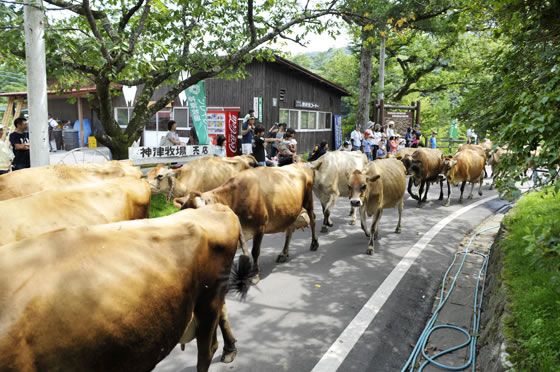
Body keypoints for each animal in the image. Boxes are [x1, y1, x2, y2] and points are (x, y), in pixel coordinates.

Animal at [179, 163, 320, 282]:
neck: (234, 198)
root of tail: (303, 164)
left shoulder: (260, 227)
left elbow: (255, 252)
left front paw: (255, 274)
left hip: (308, 200)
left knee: (312, 219)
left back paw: (314, 243)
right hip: (291, 210)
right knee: (290, 229)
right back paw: (284, 254)